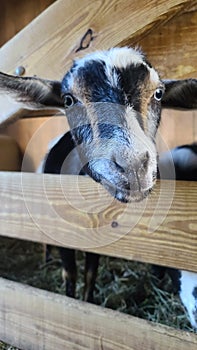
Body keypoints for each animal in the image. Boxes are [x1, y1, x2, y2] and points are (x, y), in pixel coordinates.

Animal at [0, 47, 197, 314]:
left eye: (158, 94)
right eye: (68, 100)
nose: (133, 166)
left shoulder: (96, 241)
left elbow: (91, 273)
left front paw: (88, 301)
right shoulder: (62, 233)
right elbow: (70, 274)